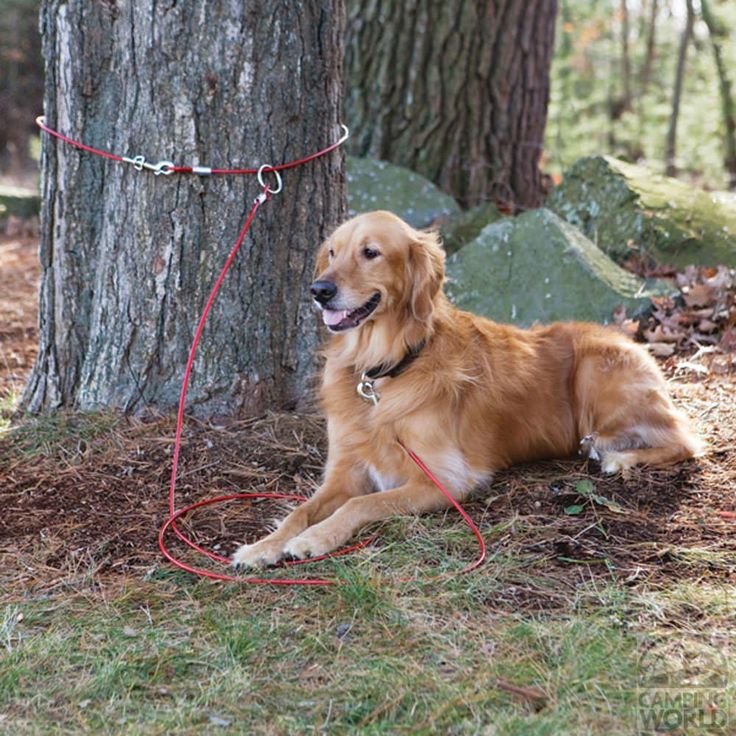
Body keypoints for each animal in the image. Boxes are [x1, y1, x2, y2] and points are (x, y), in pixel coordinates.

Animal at [231, 210, 700, 568]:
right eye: (332, 251)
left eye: (370, 252)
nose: (319, 290)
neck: (385, 370)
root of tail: (630, 339)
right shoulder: (343, 470)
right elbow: (300, 509)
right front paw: (263, 546)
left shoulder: (445, 480)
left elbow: (360, 505)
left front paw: (315, 539)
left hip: (596, 374)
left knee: (687, 440)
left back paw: (619, 458)